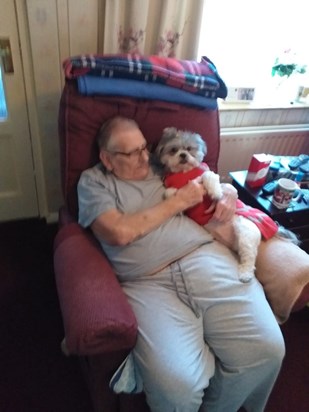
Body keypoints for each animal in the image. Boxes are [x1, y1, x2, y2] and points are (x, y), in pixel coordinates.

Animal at [155, 127, 298, 284]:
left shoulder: (208, 173)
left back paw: (245, 274)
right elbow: (169, 192)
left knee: (249, 258)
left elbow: (208, 177)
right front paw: (177, 202)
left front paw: (216, 192)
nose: (182, 155)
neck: (184, 172)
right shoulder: (174, 187)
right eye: (173, 150)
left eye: (189, 149)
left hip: (245, 233)